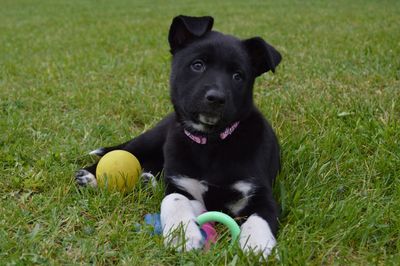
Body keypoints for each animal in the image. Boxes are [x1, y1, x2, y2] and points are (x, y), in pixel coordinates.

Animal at [76, 15, 282, 258]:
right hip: (151, 139)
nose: (216, 98)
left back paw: (147, 180)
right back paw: (89, 175)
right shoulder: (181, 185)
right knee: (124, 151)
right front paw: (182, 235)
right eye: (197, 65)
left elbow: (259, 219)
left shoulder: (259, 193)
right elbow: (173, 200)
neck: (210, 143)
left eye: (238, 76)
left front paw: (257, 246)